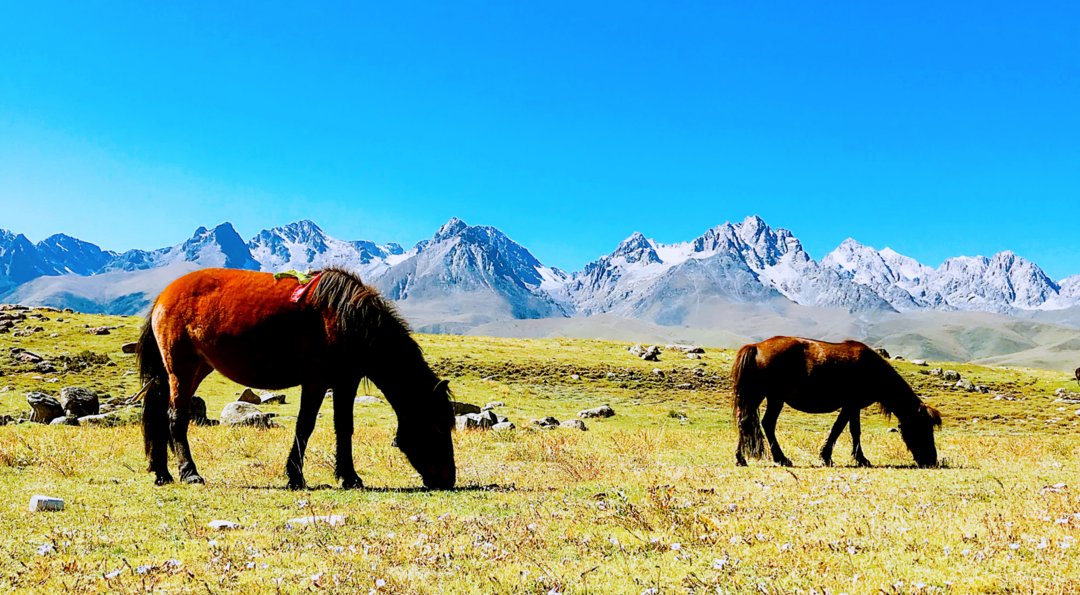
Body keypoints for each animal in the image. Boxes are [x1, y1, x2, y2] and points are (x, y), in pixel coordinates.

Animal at [136, 268, 455, 488]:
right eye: (438, 427)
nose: (448, 479)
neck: (349, 320)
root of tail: (163, 296)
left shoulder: (345, 381)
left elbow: (343, 427)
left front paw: (348, 477)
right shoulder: (316, 381)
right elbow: (305, 426)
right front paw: (297, 476)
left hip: (190, 371)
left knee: (160, 415)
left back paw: (162, 473)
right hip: (182, 370)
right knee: (176, 418)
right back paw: (189, 473)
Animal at [730, 336, 941, 468]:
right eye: (923, 429)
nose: (932, 460)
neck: (872, 370)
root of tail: (756, 347)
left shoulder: (854, 407)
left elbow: (853, 430)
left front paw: (858, 458)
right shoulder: (850, 405)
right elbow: (841, 429)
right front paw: (831, 457)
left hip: (767, 397)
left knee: (747, 422)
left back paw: (742, 459)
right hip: (769, 397)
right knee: (762, 423)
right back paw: (779, 459)